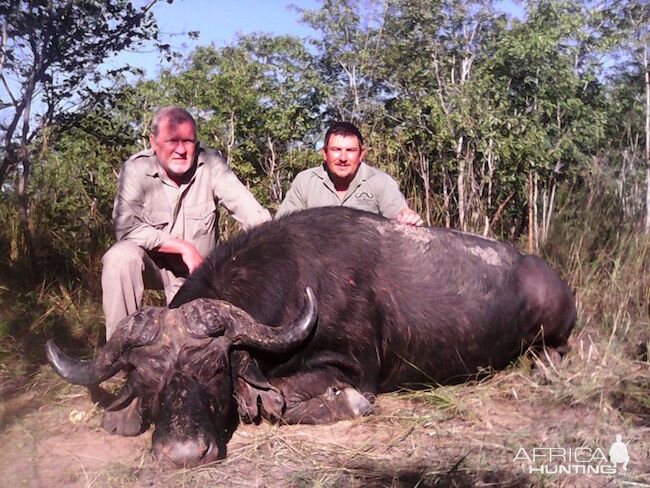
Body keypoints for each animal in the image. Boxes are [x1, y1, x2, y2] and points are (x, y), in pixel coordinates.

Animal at [45, 206, 572, 466]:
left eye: (213, 368)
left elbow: (284, 402)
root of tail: (547, 273)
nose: (183, 456)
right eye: (149, 380)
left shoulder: (355, 372)